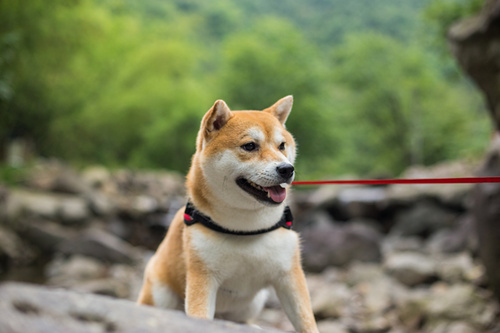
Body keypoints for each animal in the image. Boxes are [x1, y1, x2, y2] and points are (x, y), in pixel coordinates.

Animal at [137, 96, 316, 332]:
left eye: (282, 146)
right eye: (250, 146)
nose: (287, 169)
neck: (245, 229)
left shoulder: (289, 276)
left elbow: (307, 322)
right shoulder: (202, 278)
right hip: (160, 293)